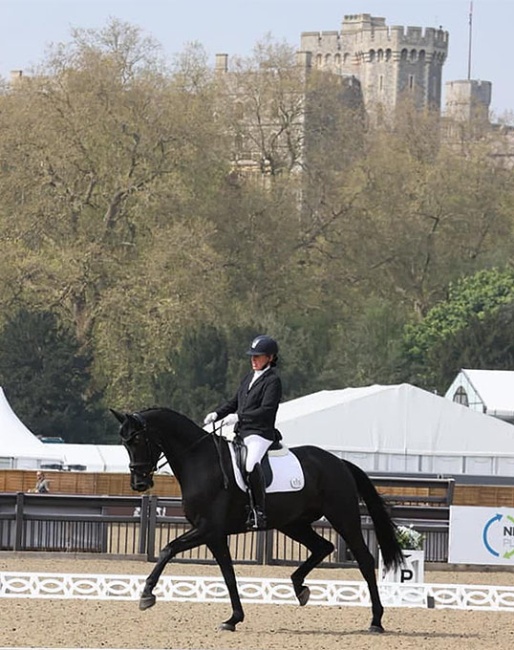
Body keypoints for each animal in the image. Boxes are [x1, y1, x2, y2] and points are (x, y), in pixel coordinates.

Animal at [110, 408, 402, 632]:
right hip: (292, 523)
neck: (199, 462)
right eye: (124, 443)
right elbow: (228, 575)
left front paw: (146, 595)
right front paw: (233, 619)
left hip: (343, 517)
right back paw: (299, 588)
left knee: (364, 559)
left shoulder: (208, 529)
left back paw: (376, 620)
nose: (139, 484)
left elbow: (168, 549)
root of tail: (340, 462)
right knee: (323, 547)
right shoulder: (214, 535)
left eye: (138, 440)